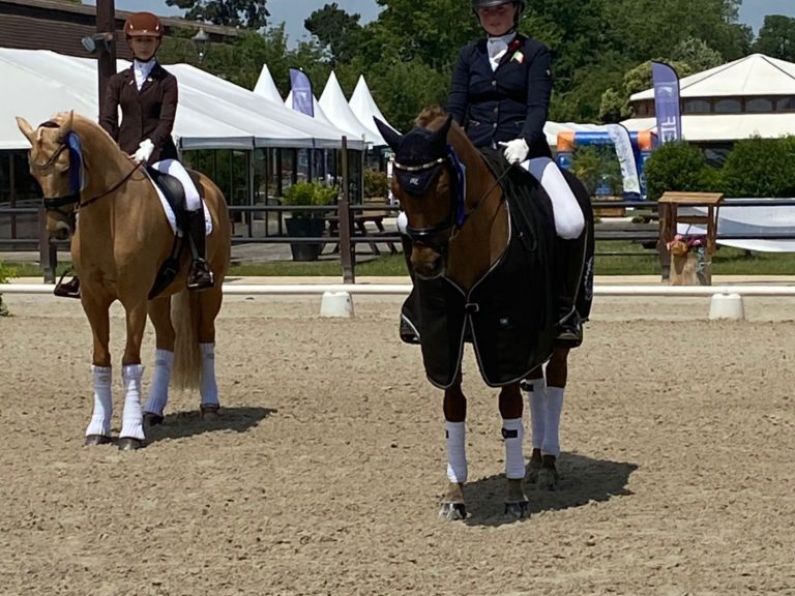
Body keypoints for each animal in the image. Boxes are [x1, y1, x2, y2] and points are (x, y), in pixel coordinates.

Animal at [17, 112, 232, 450]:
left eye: (65, 167)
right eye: (33, 173)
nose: (58, 231)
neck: (109, 214)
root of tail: (208, 185)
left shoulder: (133, 299)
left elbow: (130, 361)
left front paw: (130, 434)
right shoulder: (93, 300)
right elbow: (101, 360)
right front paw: (98, 429)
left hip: (213, 287)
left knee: (206, 336)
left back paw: (209, 406)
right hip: (158, 295)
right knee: (166, 341)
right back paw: (152, 411)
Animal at [376, 113, 592, 520]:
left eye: (443, 185)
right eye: (396, 185)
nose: (426, 263)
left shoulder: (505, 336)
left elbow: (509, 409)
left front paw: (514, 495)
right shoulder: (445, 341)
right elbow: (453, 409)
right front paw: (454, 495)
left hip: (557, 331)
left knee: (555, 380)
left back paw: (548, 464)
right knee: (536, 384)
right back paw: (535, 460)